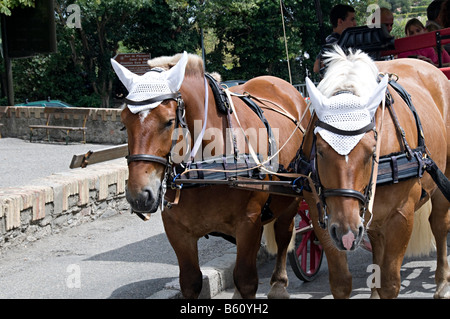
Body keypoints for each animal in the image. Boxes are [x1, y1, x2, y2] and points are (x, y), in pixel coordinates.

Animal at [112, 51, 310, 298]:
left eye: (169, 122)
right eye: (123, 122)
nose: (139, 195)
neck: (207, 169)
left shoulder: (248, 223)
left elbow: (246, 280)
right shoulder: (177, 230)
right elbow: (191, 282)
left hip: (292, 198)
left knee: (284, 234)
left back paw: (279, 285)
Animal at [302, 46, 450, 298]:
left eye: (372, 150)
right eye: (320, 150)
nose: (347, 232)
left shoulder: (401, 216)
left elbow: (390, 284)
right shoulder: (321, 216)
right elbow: (341, 282)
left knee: (439, 225)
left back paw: (441, 282)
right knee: (376, 242)